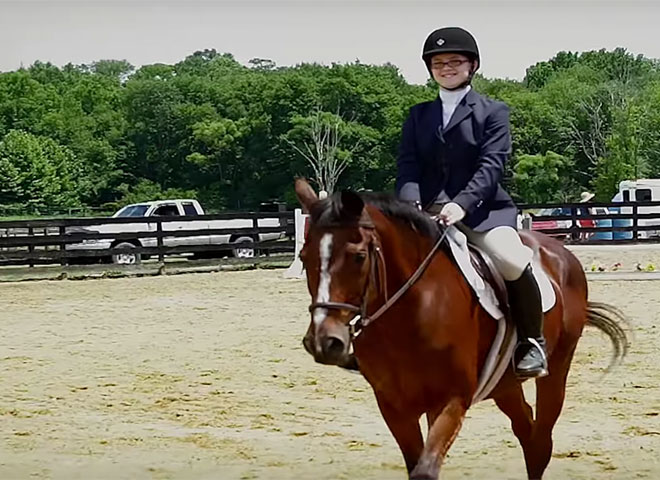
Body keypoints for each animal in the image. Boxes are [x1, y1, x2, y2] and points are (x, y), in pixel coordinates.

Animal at [294, 178, 629, 480]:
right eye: (303, 258)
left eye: (359, 257)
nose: (324, 342)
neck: (407, 316)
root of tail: (558, 250)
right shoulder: (394, 407)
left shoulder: (450, 400)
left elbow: (425, 471)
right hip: (504, 384)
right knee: (527, 431)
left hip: (556, 370)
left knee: (541, 441)